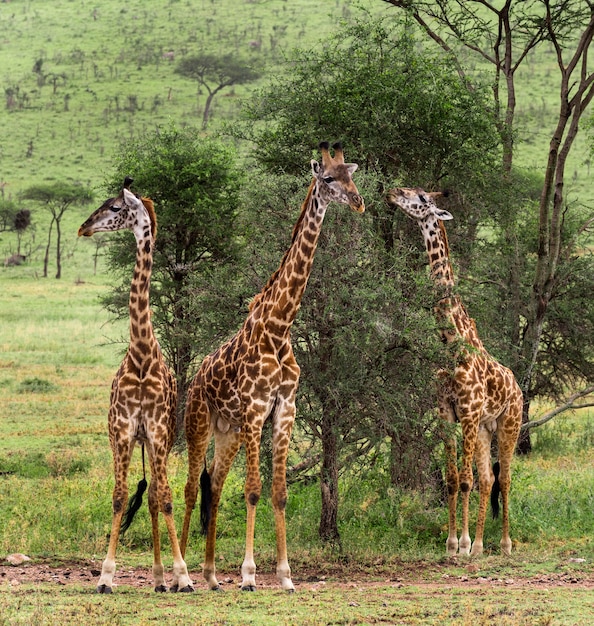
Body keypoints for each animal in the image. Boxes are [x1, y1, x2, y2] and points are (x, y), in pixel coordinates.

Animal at [77, 178, 193, 592]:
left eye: (114, 207)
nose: (83, 228)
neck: (142, 354)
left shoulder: (157, 431)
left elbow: (167, 497)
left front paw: (183, 575)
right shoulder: (122, 431)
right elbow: (118, 496)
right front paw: (106, 575)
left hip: (159, 441)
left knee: (157, 496)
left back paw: (163, 578)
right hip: (140, 441)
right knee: (148, 495)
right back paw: (156, 578)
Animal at [180, 140, 364, 588]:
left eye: (352, 177)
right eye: (328, 178)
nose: (359, 202)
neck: (281, 326)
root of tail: (195, 380)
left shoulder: (284, 408)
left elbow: (278, 492)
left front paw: (285, 574)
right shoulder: (256, 407)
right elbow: (253, 489)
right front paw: (249, 574)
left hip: (228, 431)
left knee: (214, 485)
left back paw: (212, 575)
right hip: (198, 423)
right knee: (192, 489)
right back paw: (183, 574)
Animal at [384, 186, 520, 556]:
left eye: (419, 197)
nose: (391, 192)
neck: (450, 342)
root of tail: (518, 387)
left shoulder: (469, 414)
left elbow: (465, 480)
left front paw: (463, 542)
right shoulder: (447, 412)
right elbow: (451, 480)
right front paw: (451, 542)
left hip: (510, 424)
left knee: (504, 478)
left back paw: (503, 544)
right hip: (487, 428)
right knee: (489, 478)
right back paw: (483, 544)